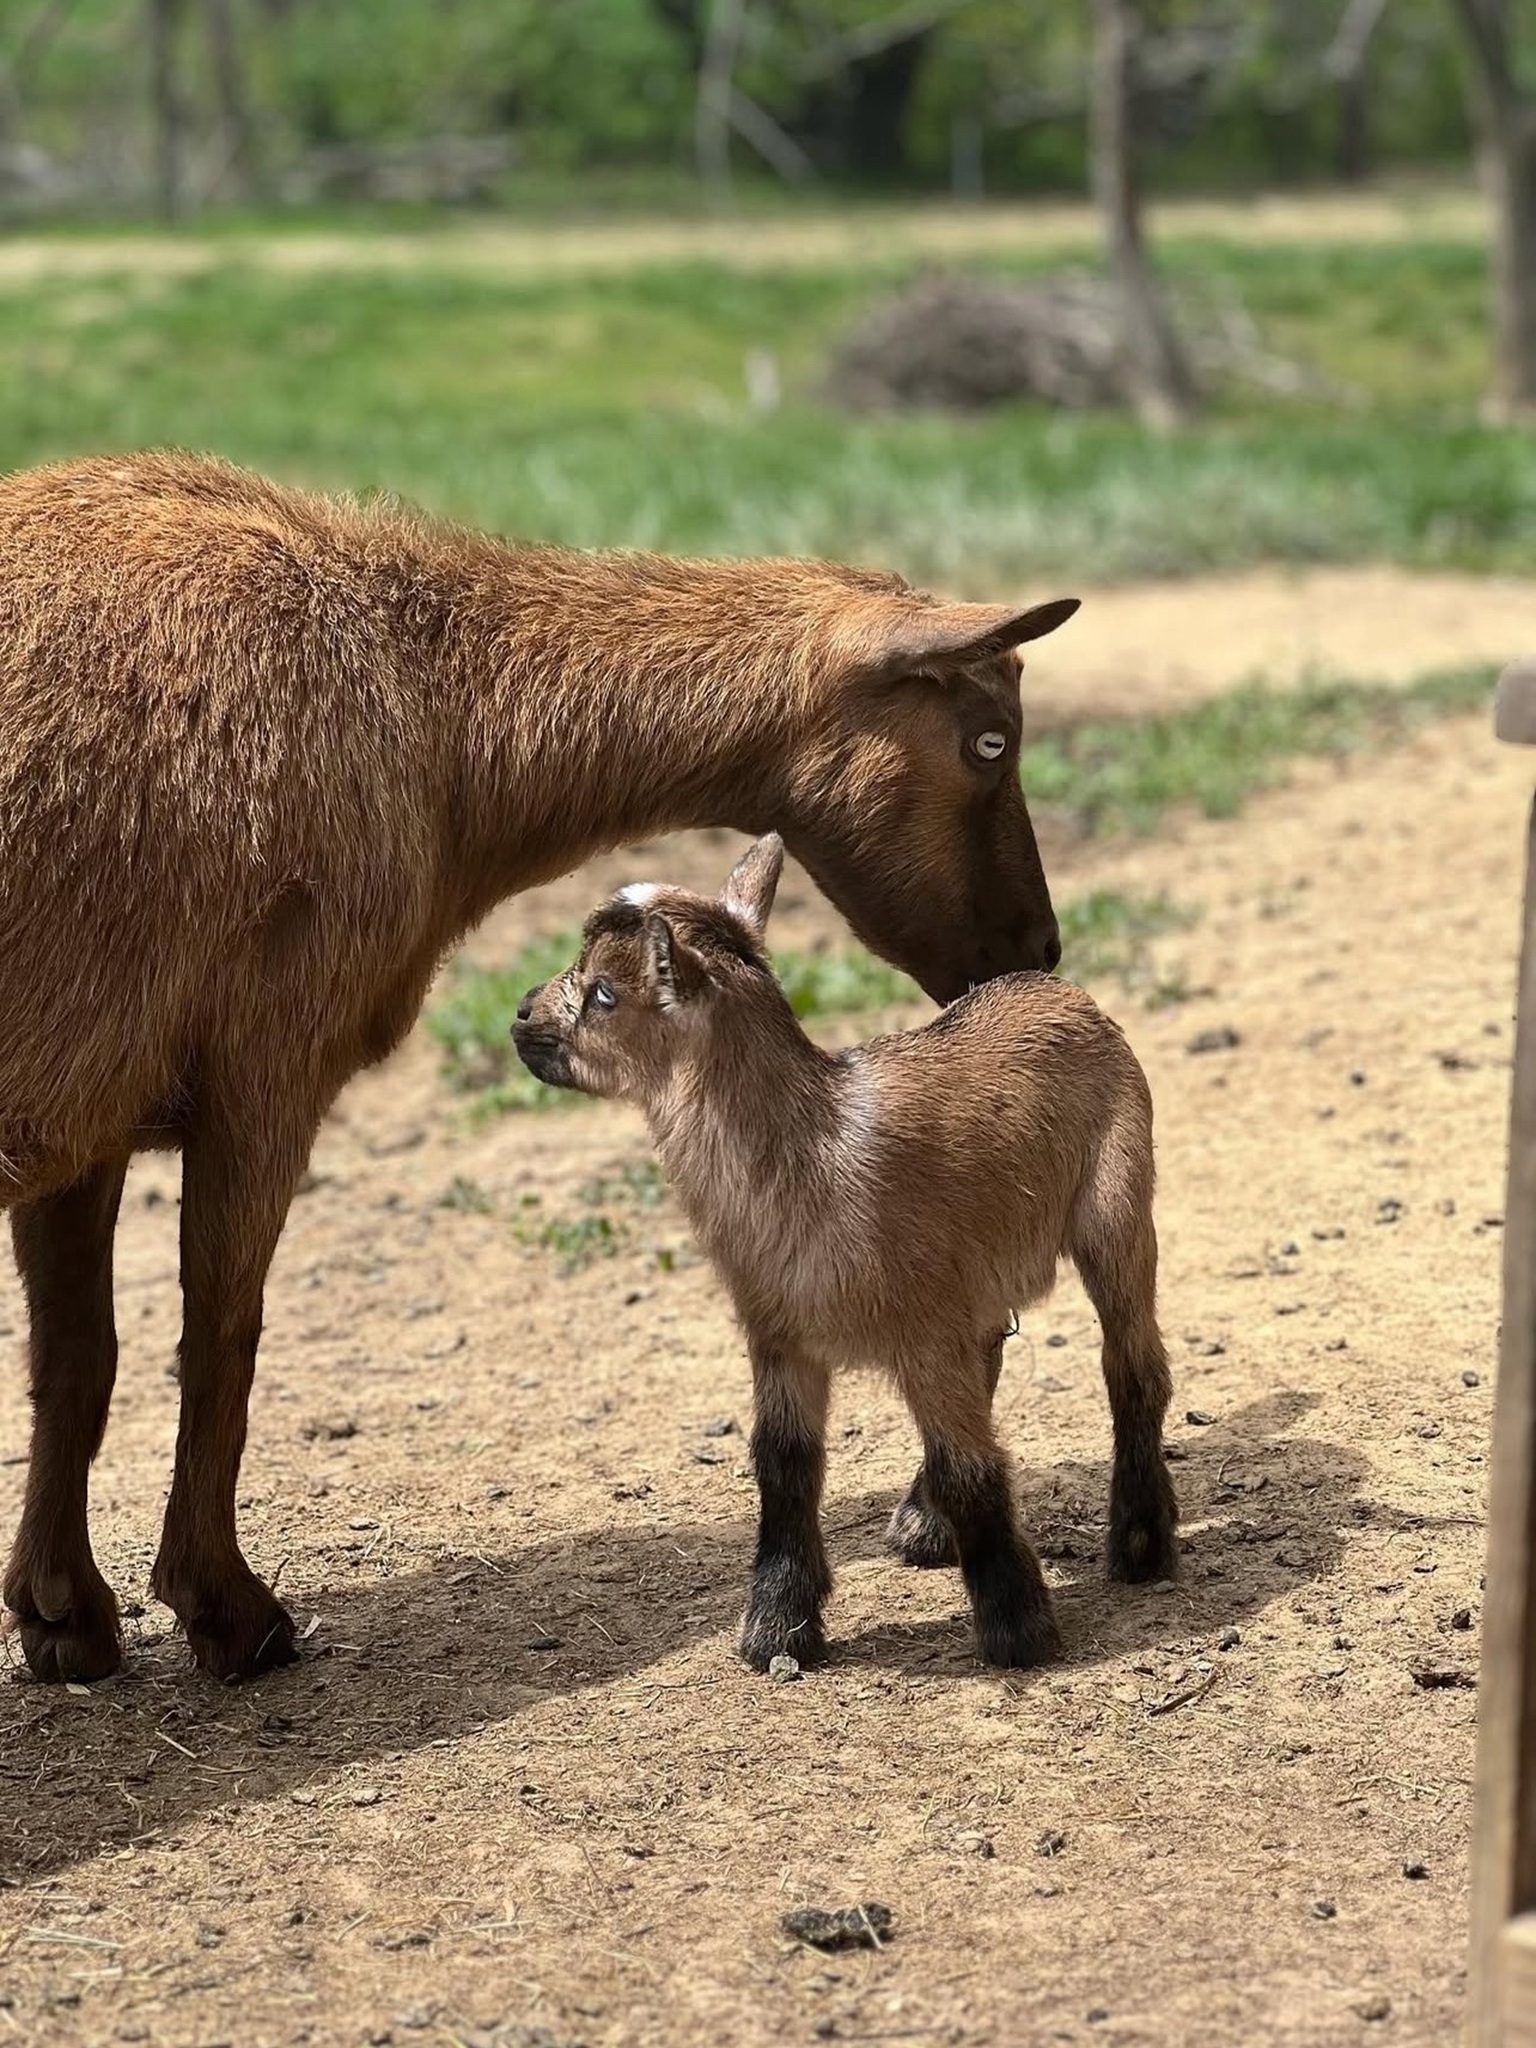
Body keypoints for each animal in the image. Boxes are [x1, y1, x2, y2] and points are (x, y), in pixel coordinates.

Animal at [0, 450, 1079, 1683]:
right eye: (989, 739)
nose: (1036, 951)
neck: (435, 721)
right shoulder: (264, 1069)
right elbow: (222, 1337)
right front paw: (228, 1611)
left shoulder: (86, 1103)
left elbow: (76, 1360)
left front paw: (64, 1615)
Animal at [512, 835, 1178, 1670]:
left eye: (603, 992)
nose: (520, 1015)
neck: (810, 1157)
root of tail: (1056, 990)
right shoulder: (781, 1338)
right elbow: (784, 1467)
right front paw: (776, 1628)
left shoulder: (926, 1333)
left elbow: (969, 1465)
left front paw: (1018, 1630)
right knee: (997, 1356)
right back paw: (925, 1525)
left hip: (1117, 1210)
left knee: (1132, 1365)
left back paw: (1141, 1543)